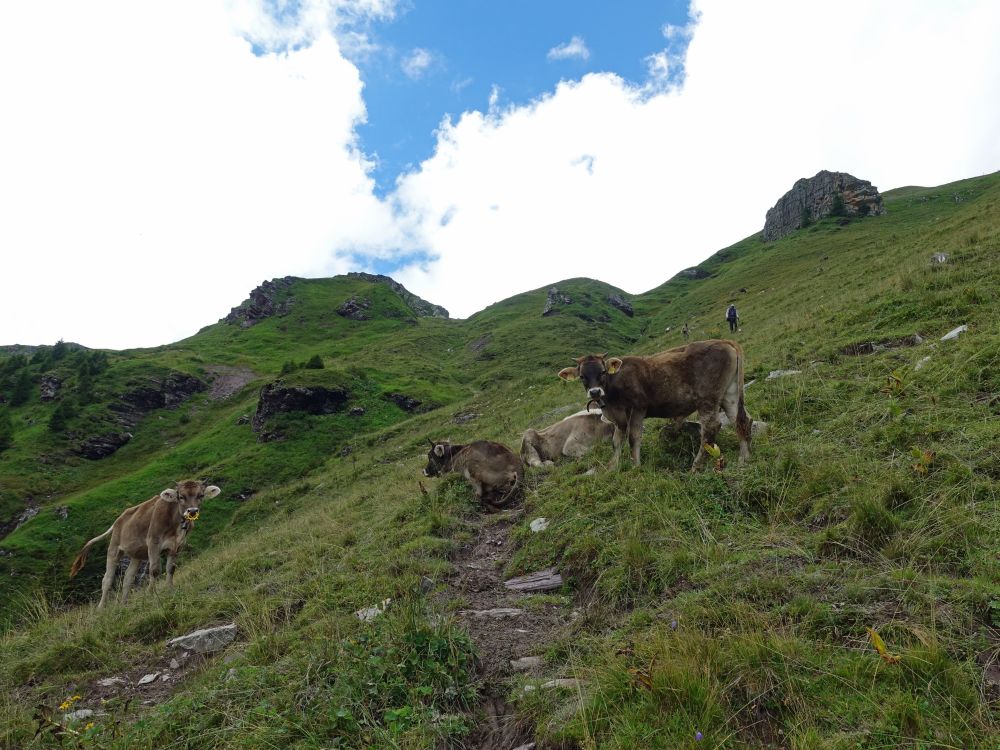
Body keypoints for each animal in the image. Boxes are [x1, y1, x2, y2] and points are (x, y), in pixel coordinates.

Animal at [68, 482, 221, 612]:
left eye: (200, 495)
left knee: (128, 578)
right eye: (181, 496)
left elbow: (171, 569)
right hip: (114, 548)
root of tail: (119, 519)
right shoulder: (153, 543)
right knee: (107, 579)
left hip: (137, 554)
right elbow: (154, 570)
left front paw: (170, 590)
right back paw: (100, 609)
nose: (192, 511)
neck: (176, 524)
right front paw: (151, 595)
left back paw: (123, 605)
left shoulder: (177, 546)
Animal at [556, 340, 752, 470]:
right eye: (582, 376)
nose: (595, 392)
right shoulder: (618, 419)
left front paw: (636, 466)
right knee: (741, 420)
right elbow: (616, 442)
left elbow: (633, 438)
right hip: (730, 394)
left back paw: (695, 467)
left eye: (603, 371)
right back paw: (744, 458)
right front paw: (613, 466)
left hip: (707, 398)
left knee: (711, 427)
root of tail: (723, 341)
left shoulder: (637, 408)